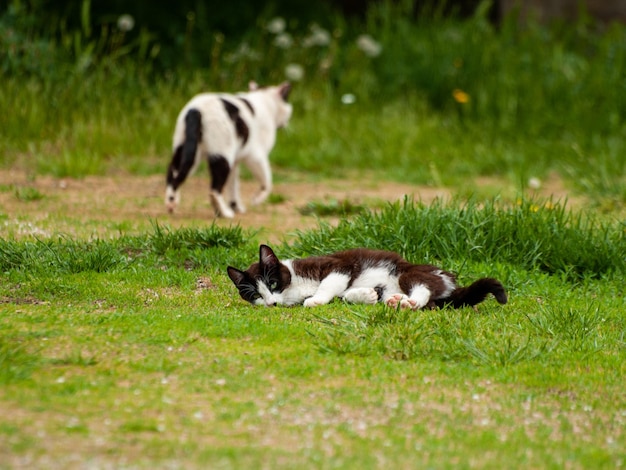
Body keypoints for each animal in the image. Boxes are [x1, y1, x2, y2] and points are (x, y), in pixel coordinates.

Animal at [166, 81, 292, 218]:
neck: (264, 100)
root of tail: (196, 109)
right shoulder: (256, 156)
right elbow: (267, 181)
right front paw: (256, 200)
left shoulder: (235, 161)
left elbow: (233, 185)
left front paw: (236, 206)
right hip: (222, 156)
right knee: (215, 189)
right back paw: (224, 212)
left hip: (185, 152)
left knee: (173, 176)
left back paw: (171, 203)